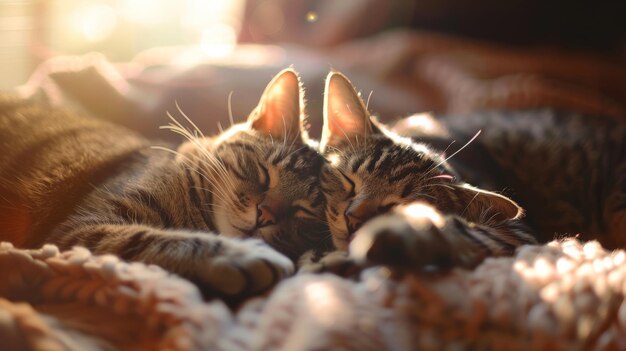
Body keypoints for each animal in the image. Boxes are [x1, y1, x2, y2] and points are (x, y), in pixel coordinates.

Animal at [0, 69, 330, 300]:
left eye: (305, 212)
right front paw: (238, 254)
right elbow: (157, 238)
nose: (265, 215)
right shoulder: (80, 228)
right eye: (264, 173)